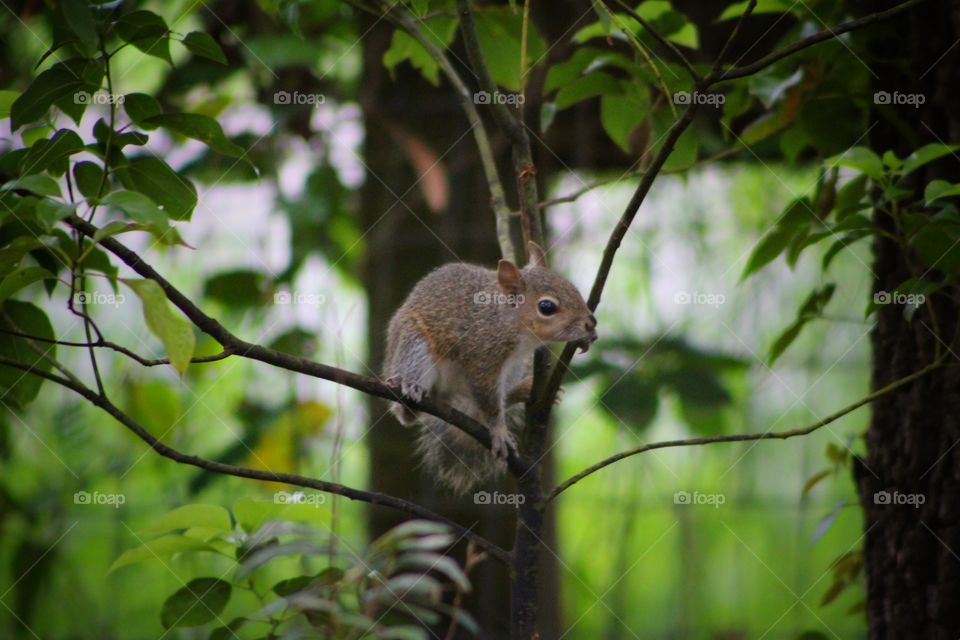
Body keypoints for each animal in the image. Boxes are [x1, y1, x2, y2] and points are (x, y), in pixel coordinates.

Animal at [383, 242, 597, 493]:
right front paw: (499, 431)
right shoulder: (482, 357)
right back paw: (411, 390)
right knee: (407, 412)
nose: (591, 323)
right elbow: (489, 400)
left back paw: (522, 390)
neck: (508, 322)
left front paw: (585, 339)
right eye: (547, 307)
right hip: (415, 348)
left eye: (574, 289)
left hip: (514, 370)